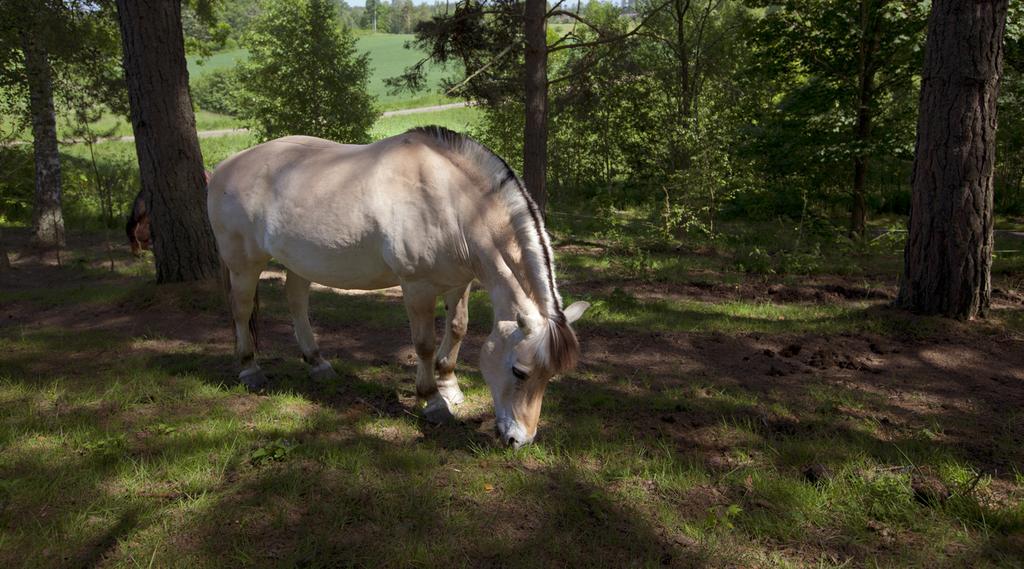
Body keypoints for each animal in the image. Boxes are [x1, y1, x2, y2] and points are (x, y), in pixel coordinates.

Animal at [206, 126, 589, 446]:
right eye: (519, 372)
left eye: (550, 376)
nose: (519, 440)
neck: (451, 203)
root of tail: (224, 166)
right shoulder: (417, 286)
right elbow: (423, 344)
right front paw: (433, 402)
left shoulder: (459, 283)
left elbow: (458, 329)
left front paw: (450, 387)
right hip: (244, 264)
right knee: (241, 309)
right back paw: (250, 369)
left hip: (300, 261)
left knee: (297, 303)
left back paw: (318, 364)